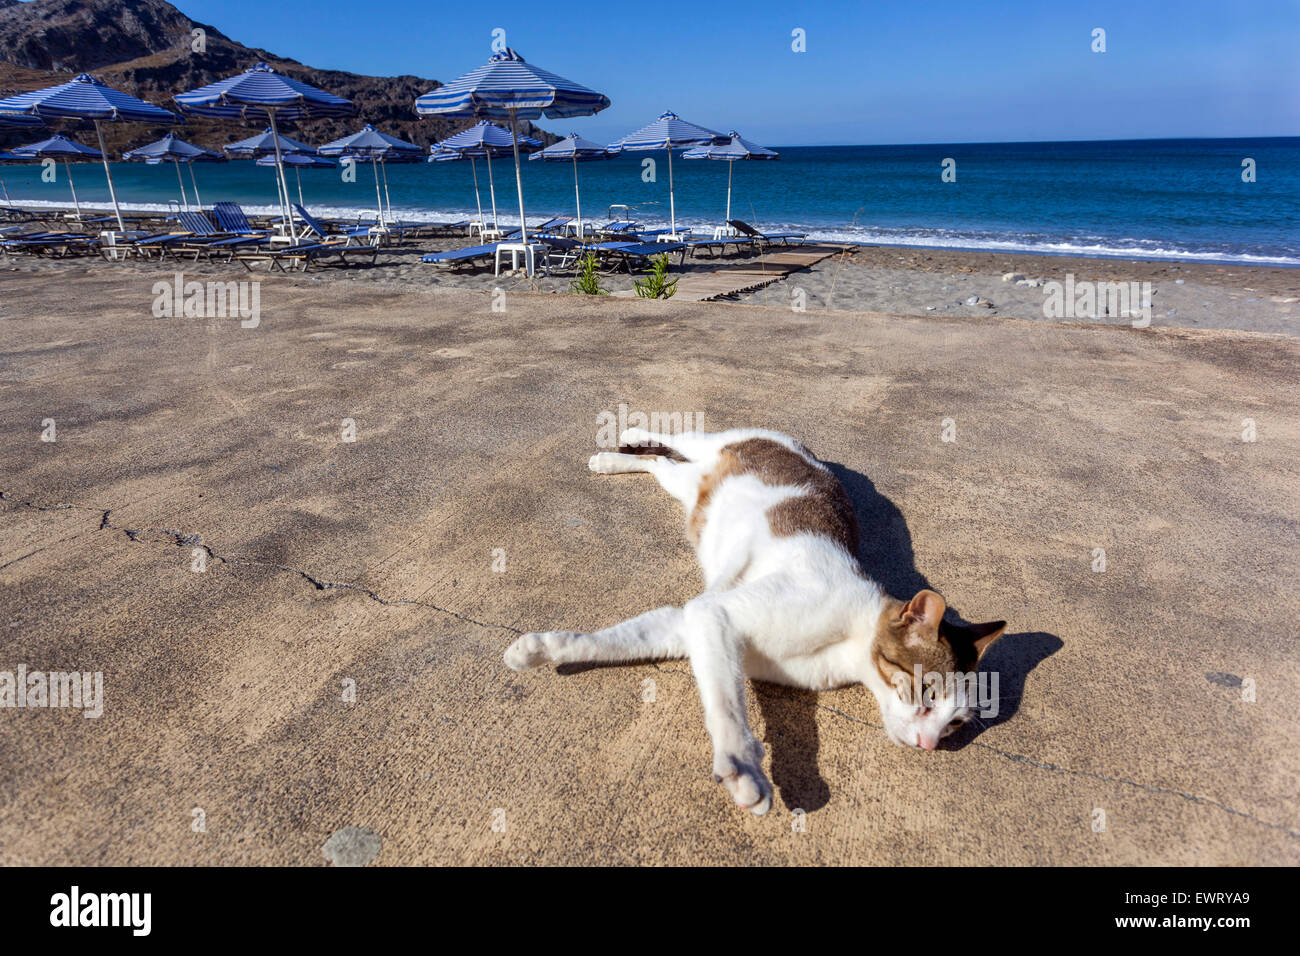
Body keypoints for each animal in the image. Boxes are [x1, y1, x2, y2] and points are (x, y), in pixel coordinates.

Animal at [504, 426, 1003, 816]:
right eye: (927, 693)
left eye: (954, 724)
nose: (930, 745)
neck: (851, 637)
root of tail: (806, 450)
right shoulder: (714, 614)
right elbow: (727, 706)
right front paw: (743, 769)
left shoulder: (689, 623)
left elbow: (611, 639)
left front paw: (541, 648)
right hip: (708, 443)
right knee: (671, 437)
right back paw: (625, 435)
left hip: (690, 487)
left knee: (660, 464)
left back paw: (612, 460)